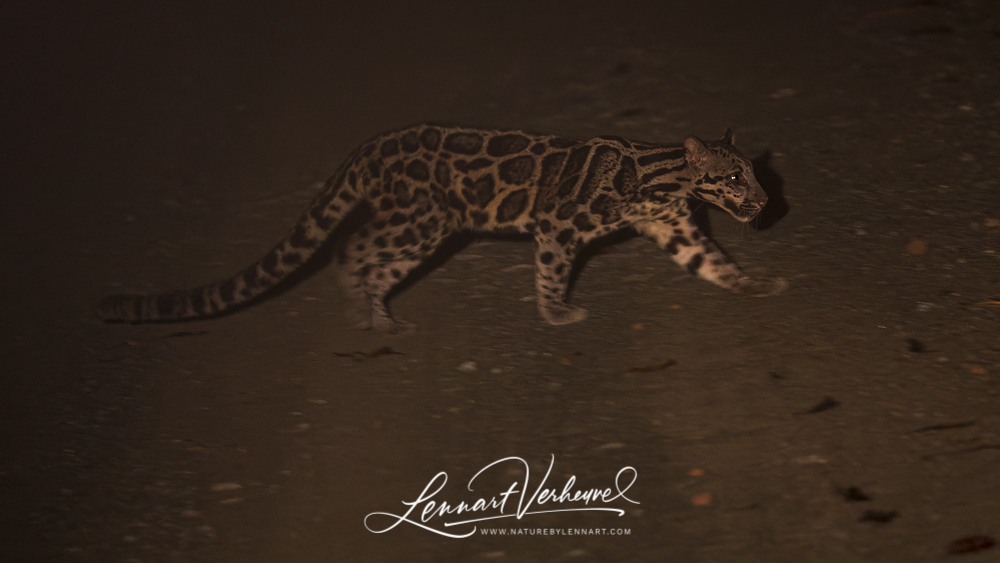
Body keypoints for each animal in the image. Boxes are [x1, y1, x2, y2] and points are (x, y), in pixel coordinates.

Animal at [101, 125, 788, 332]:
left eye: (753, 174)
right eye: (732, 177)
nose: (760, 201)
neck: (659, 177)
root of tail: (368, 146)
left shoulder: (678, 230)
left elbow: (716, 264)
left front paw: (757, 286)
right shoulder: (557, 227)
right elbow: (550, 274)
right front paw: (557, 314)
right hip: (424, 222)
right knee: (350, 249)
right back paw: (368, 311)